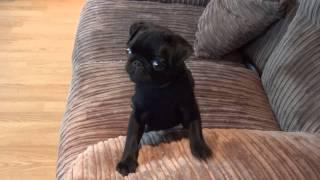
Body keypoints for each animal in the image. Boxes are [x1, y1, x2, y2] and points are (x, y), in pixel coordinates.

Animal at [116, 21, 211, 176]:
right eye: (128, 51)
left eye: (157, 64)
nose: (137, 62)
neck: (158, 88)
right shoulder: (137, 115)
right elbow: (131, 138)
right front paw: (126, 162)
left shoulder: (189, 108)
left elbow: (195, 127)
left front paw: (200, 147)